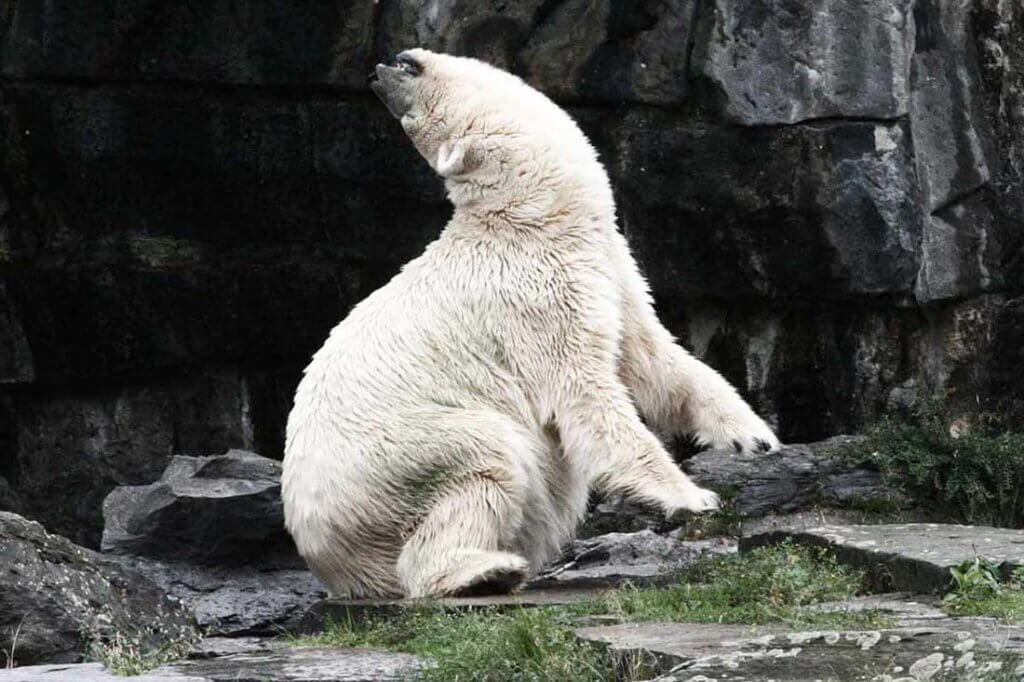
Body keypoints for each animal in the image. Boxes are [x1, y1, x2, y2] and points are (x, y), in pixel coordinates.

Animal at [280, 50, 774, 598]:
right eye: (412, 121)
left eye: (408, 108)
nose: (380, 69)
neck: (539, 216)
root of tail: (330, 561)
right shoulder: (535, 298)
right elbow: (588, 397)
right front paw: (691, 496)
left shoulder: (611, 272)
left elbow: (656, 363)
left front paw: (754, 436)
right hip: (392, 459)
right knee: (484, 458)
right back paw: (484, 569)